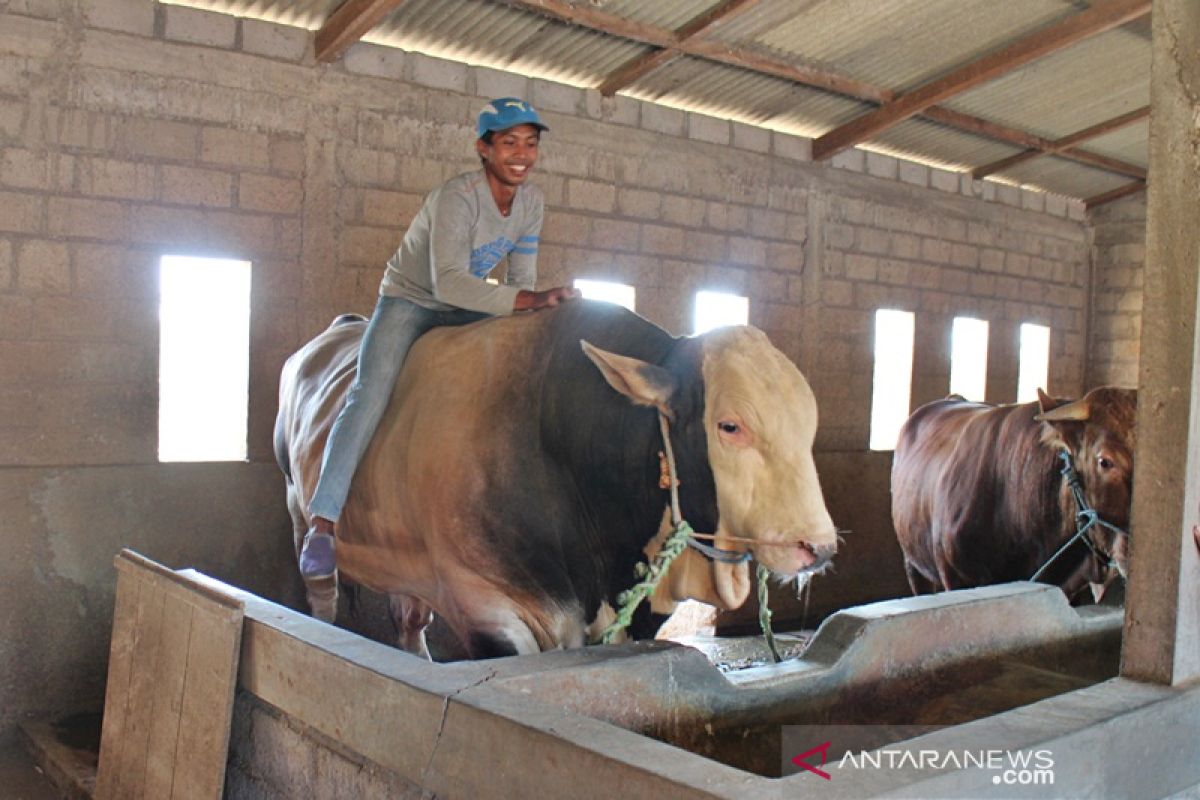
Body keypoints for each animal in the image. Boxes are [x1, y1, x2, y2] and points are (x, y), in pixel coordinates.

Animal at [274, 299, 835, 657]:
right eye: (730, 426)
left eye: (809, 421)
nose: (818, 547)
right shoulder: (485, 606)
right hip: (299, 512)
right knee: (320, 592)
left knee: (409, 622)